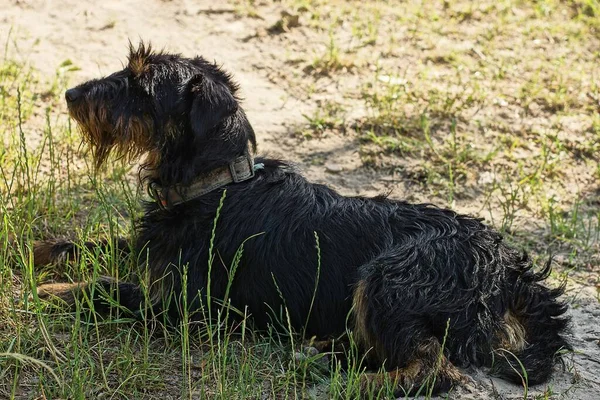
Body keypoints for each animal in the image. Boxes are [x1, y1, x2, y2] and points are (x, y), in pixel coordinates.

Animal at [35, 43, 568, 394]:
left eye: (140, 85)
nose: (70, 93)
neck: (217, 184)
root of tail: (505, 264)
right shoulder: (152, 250)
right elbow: (96, 244)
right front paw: (39, 251)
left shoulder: (188, 307)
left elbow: (106, 287)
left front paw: (52, 291)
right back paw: (324, 352)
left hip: (389, 278)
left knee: (435, 370)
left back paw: (355, 383)